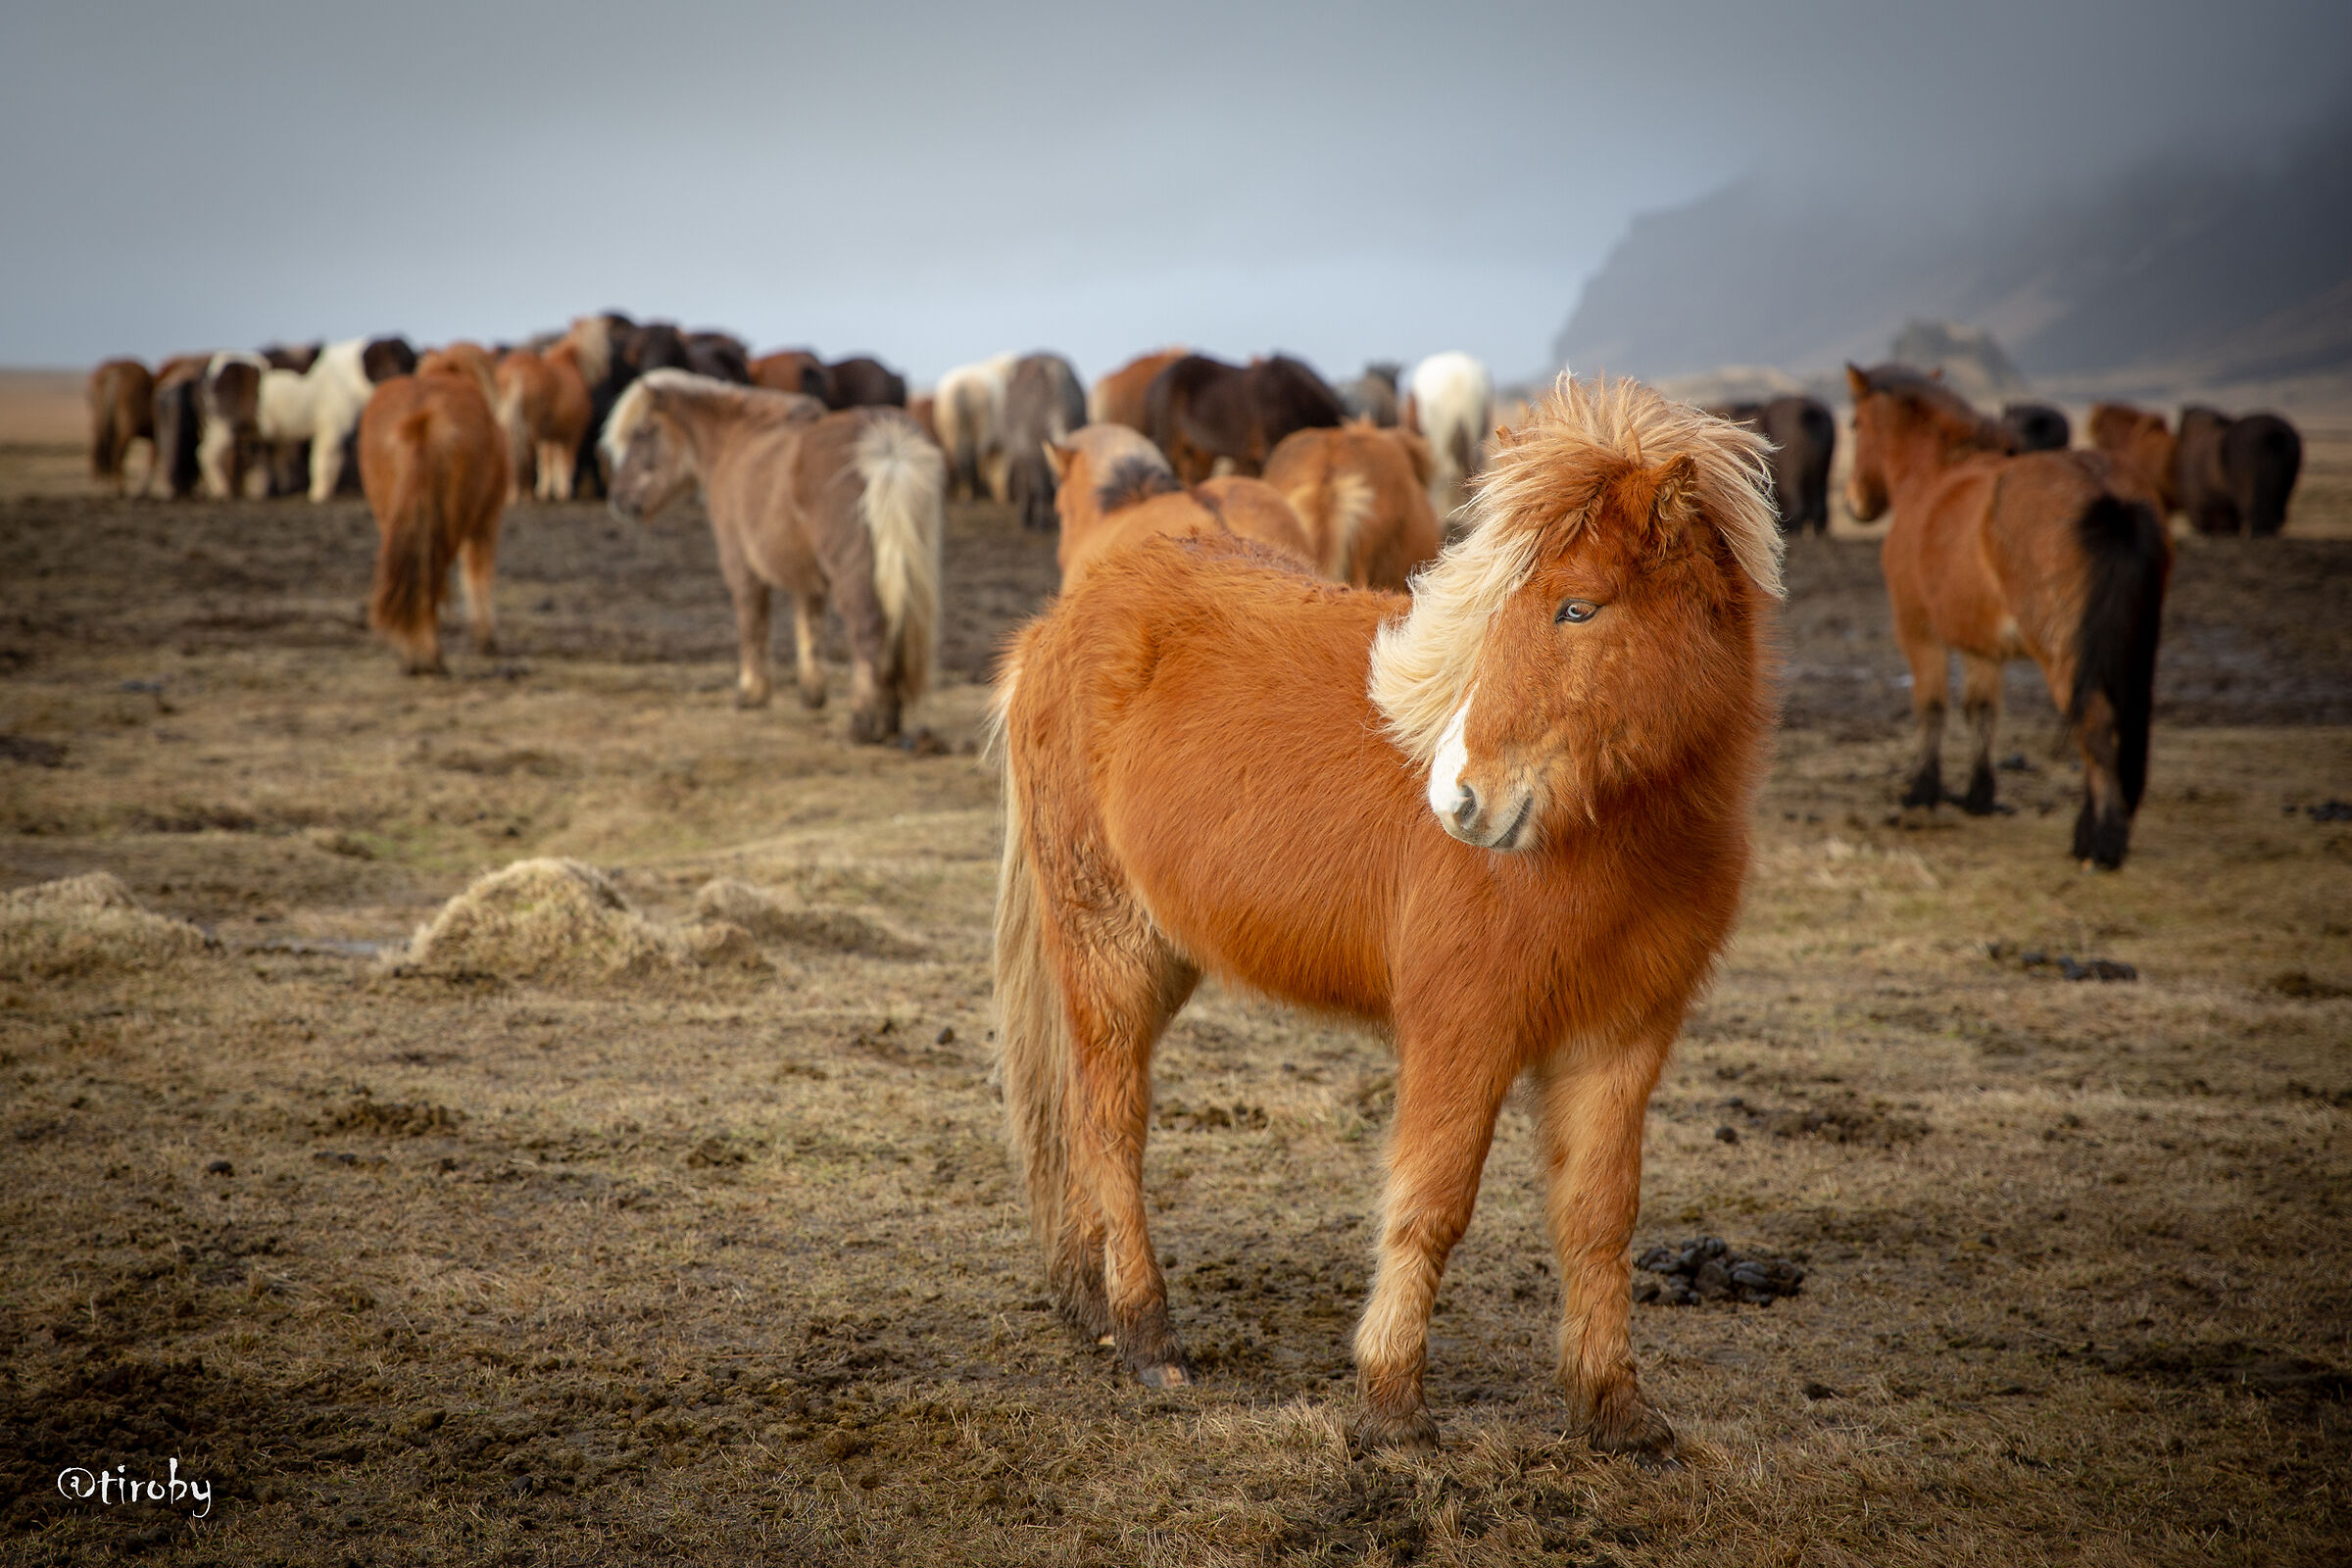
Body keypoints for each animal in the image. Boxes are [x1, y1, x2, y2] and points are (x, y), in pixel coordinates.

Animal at [87, 359, 156, 498]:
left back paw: (99, 486)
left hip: (97, 423)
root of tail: (114, 372)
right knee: (117, 453)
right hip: (126, 430)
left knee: (96, 450)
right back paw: (120, 489)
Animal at [358, 357, 510, 674]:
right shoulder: (486, 522)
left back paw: (414, 654)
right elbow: (479, 574)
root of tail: (420, 418)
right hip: (453, 522)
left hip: (395, 517)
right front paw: (487, 639)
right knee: (432, 574)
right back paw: (427, 657)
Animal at [602, 370, 943, 743]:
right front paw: (811, 694)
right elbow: (808, 625)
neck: (737, 440)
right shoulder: (805, 576)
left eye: (642, 432)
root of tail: (886, 447)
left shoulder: (740, 565)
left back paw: (864, 722)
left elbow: (752, 623)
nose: (618, 498)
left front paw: (751, 694)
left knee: (869, 628)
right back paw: (889, 718)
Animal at [1003, 354, 1089, 530]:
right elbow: (1040, 487)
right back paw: (1025, 515)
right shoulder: (1034, 455)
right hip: (1018, 454)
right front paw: (1041, 522)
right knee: (1024, 483)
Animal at [1846, 364, 2169, 867]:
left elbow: (1931, 706)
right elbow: (1982, 710)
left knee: (2094, 723)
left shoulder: (1918, 631)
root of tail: (2106, 493)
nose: (1855, 501)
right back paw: (2089, 832)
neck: (1934, 476)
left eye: (1855, 424)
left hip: (2064, 652)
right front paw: (1979, 795)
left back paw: (2103, 841)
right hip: (2133, 644)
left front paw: (1922, 789)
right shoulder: (1981, 643)